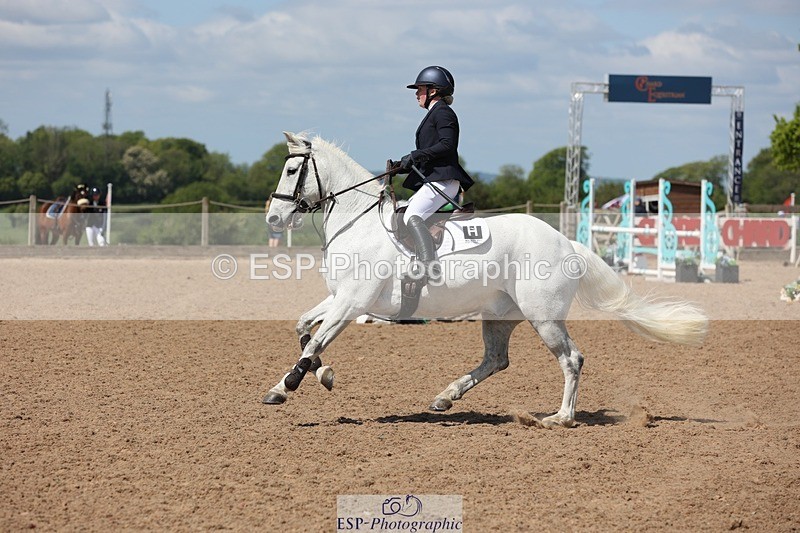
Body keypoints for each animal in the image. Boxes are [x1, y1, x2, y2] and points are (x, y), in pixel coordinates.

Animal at [262, 132, 708, 427]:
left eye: (291, 169)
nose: (273, 219)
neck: (359, 223)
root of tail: (566, 242)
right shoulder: (340, 298)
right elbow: (302, 328)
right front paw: (322, 375)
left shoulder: (352, 302)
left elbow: (313, 342)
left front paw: (285, 387)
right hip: (500, 315)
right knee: (497, 359)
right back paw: (445, 398)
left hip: (544, 317)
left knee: (571, 359)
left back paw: (560, 418)